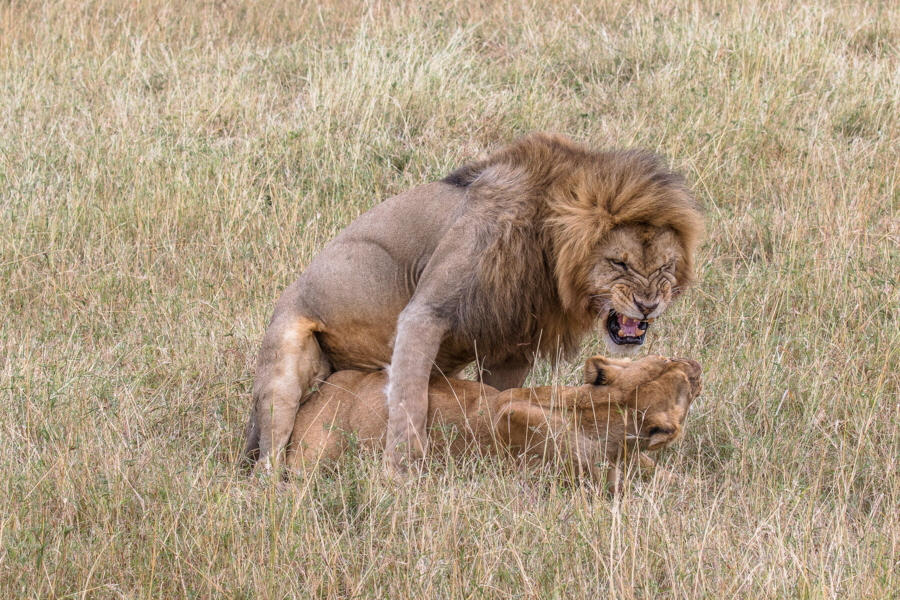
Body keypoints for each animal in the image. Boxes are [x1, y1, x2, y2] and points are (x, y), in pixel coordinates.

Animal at [244, 134, 704, 472]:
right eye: (619, 263)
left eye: (665, 267)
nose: (648, 305)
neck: (546, 248)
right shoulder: (425, 312)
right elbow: (409, 403)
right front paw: (399, 475)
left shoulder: (516, 342)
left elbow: (496, 397)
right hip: (284, 374)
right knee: (272, 455)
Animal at [288, 354, 704, 494]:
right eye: (686, 382)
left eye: (667, 358)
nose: (697, 366)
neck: (598, 410)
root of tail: (321, 390)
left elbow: (666, 475)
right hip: (313, 460)